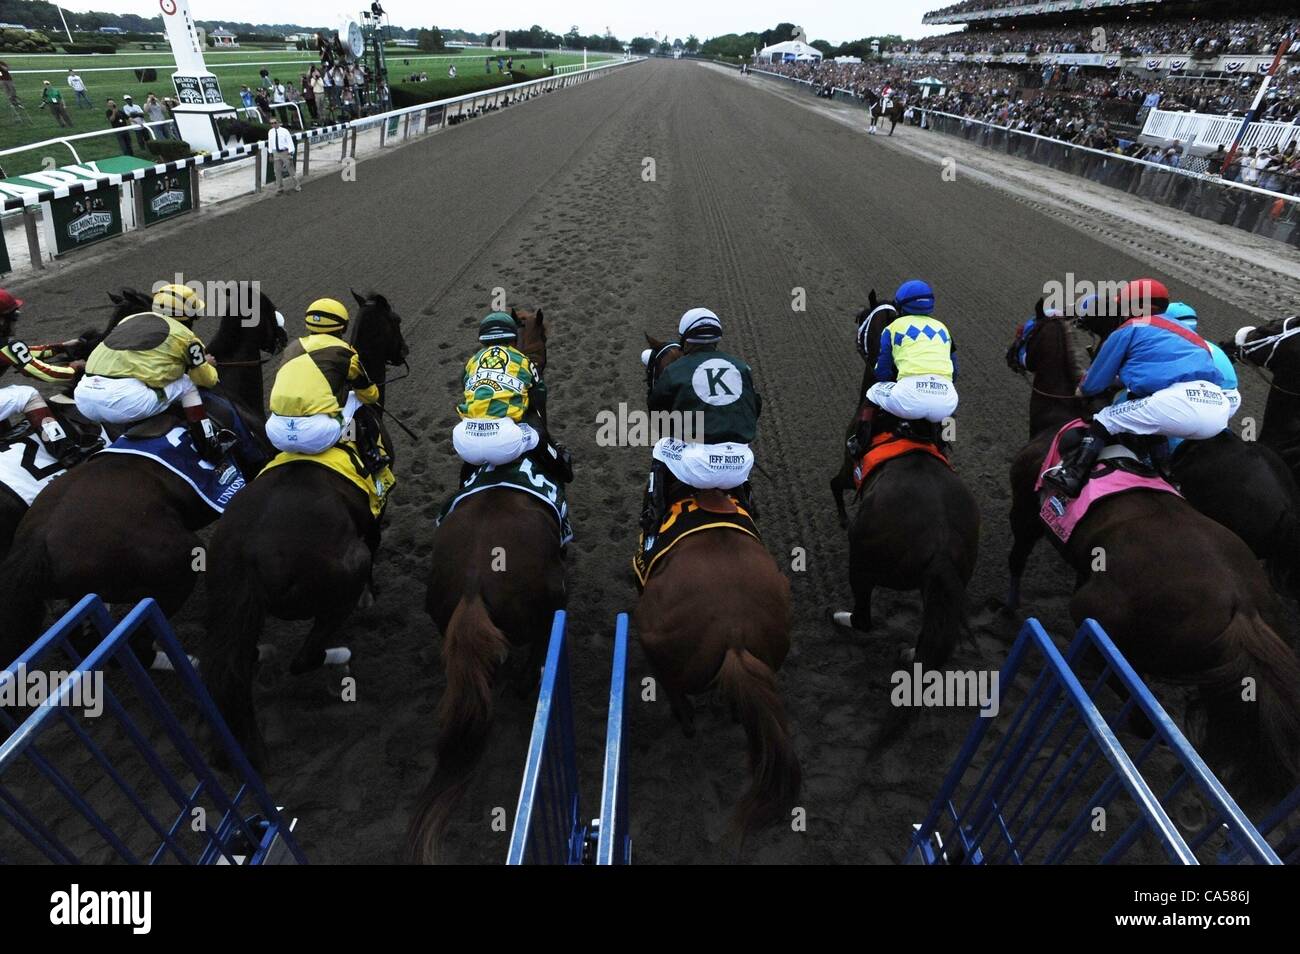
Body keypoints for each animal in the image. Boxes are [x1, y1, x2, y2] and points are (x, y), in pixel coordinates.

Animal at [200, 289, 405, 769]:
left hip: (229, 604)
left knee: (235, 669)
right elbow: (376, 547)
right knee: (303, 658)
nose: (405, 352)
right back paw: (341, 659)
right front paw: (371, 598)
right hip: (337, 577)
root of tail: (249, 552)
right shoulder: (375, 515)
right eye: (397, 323)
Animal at [832, 298, 977, 670]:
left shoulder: (848, 467)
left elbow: (834, 485)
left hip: (863, 558)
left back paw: (841, 617)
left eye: (861, 316)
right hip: (949, 580)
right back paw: (912, 651)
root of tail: (941, 549)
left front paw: (842, 518)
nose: (854, 326)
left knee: (864, 618)